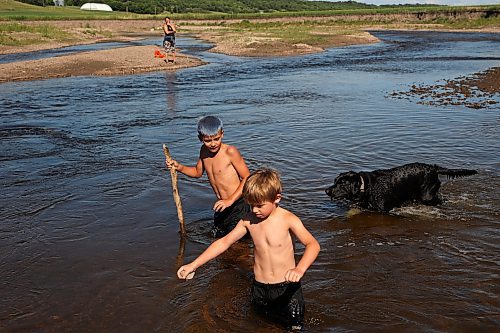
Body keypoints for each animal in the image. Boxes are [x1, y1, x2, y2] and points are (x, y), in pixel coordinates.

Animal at [326, 162, 478, 211]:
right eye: (335, 180)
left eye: (341, 184)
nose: (326, 190)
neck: (368, 187)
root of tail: (433, 168)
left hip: (427, 196)